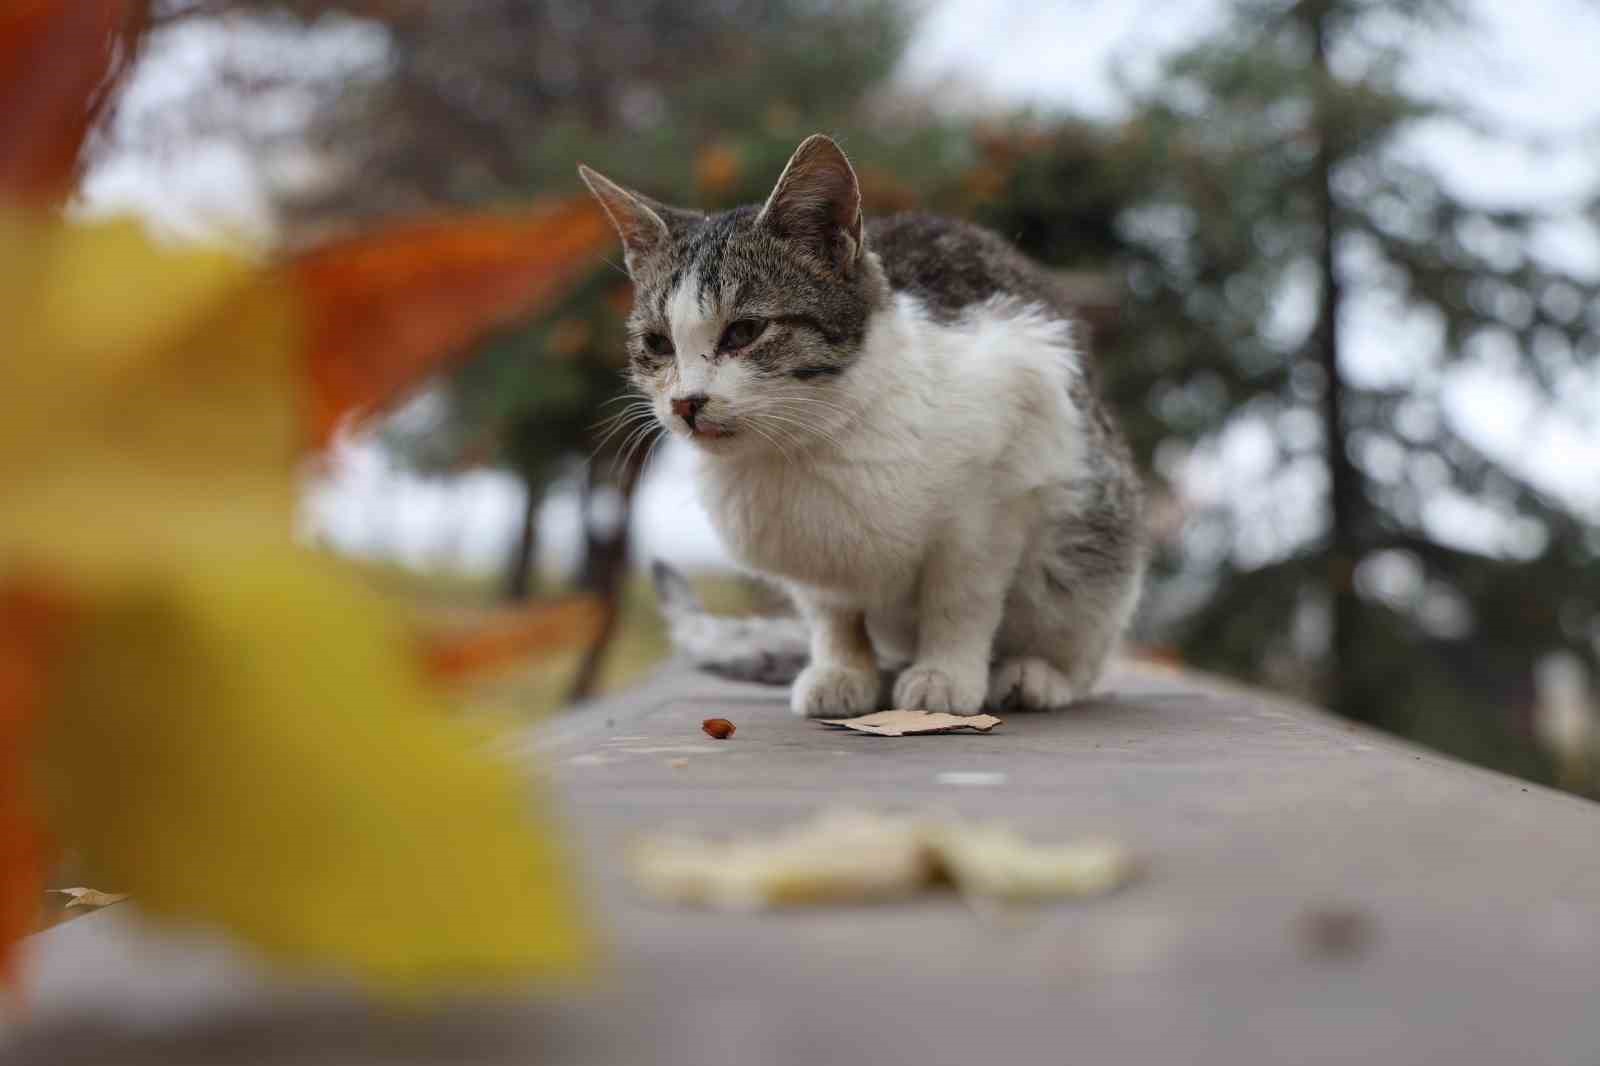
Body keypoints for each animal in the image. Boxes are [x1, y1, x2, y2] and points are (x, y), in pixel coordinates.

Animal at [582, 130, 1145, 713]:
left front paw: (945, 674)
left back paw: (1034, 675)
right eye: (657, 344)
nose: (686, 402)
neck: (816, 443)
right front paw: (843, 672)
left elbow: (959, 600)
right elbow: (835, 615)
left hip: (1090, 538)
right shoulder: (812, 555)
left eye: (744, 332)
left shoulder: (993, 499)